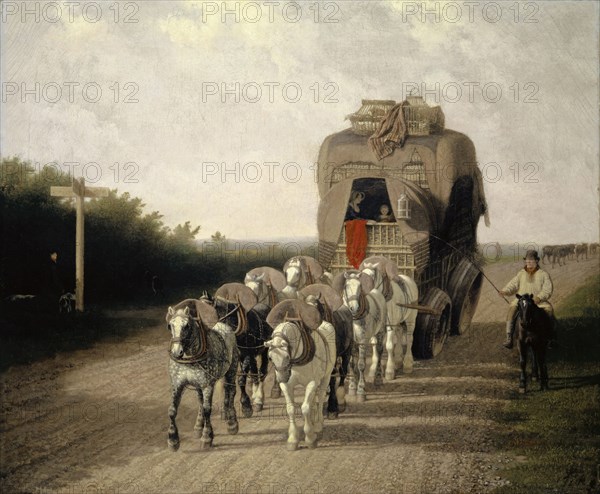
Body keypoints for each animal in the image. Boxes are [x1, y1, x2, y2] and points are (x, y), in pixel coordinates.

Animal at [165, 300, 240, 450]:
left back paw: (232, 423)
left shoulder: (207, 385)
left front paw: (207, 437)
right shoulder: (177, 384)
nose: (177, 352)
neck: (189, 359)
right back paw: (198, 426)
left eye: (186, 325)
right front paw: (173, 440)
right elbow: (172, 410)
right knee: (201, 401)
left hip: (231, 370)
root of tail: (224, 325)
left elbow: (207, 409)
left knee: (230, 392)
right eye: (170, 326)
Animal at [204, 284, 274, 418]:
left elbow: (241, 379)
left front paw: (246, 406)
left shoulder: (246, 355)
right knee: (255, 373)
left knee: (262, 372)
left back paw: (258, 400)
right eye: (217, 314)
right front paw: (227, 410)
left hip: (264, 351)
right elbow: (227, 383)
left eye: (230, 314)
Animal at [266, 300, 338, 450]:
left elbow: (305, 408)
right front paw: (293, 439)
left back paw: (318, 424)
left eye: (287, 356)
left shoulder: (312, 382)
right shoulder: (287, 385)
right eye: (270, 357)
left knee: (320, 396)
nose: (281, 378)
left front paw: (310, 438)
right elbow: (291, 409)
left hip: (326, 377)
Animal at [302, 284, 354, 418]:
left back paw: (340, 399)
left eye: (316, 309)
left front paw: (332, 408)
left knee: (342, 372)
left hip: (347, 352)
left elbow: (332, 378)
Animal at [336, 270, 386, 402]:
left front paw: (361, 391)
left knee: (379, 352)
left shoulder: (363, 341)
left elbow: (361, 365)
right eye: (346, 286)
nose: (354, 308)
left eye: (360, 287)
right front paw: (353, 388)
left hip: (380, 332)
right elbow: (352, 365)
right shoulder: (352, 343)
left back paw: (378, 379)